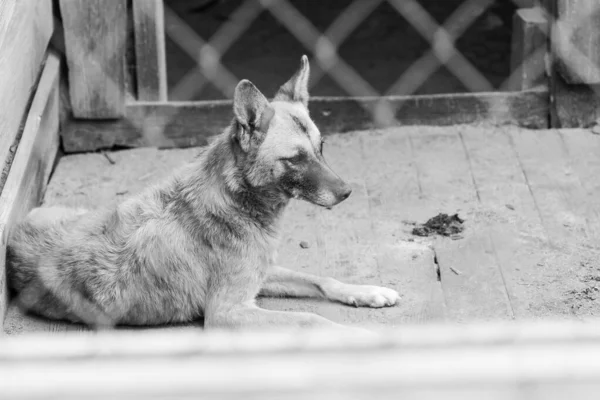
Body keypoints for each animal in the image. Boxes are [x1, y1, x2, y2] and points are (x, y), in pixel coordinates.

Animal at [7, 56, 400, 332]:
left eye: (321, 149)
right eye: (295, 158)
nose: (347, 192)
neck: (235, 202)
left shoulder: (262, 276)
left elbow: (321, 279)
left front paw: (368, 292)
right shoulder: (228, 311)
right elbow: (313, 320)